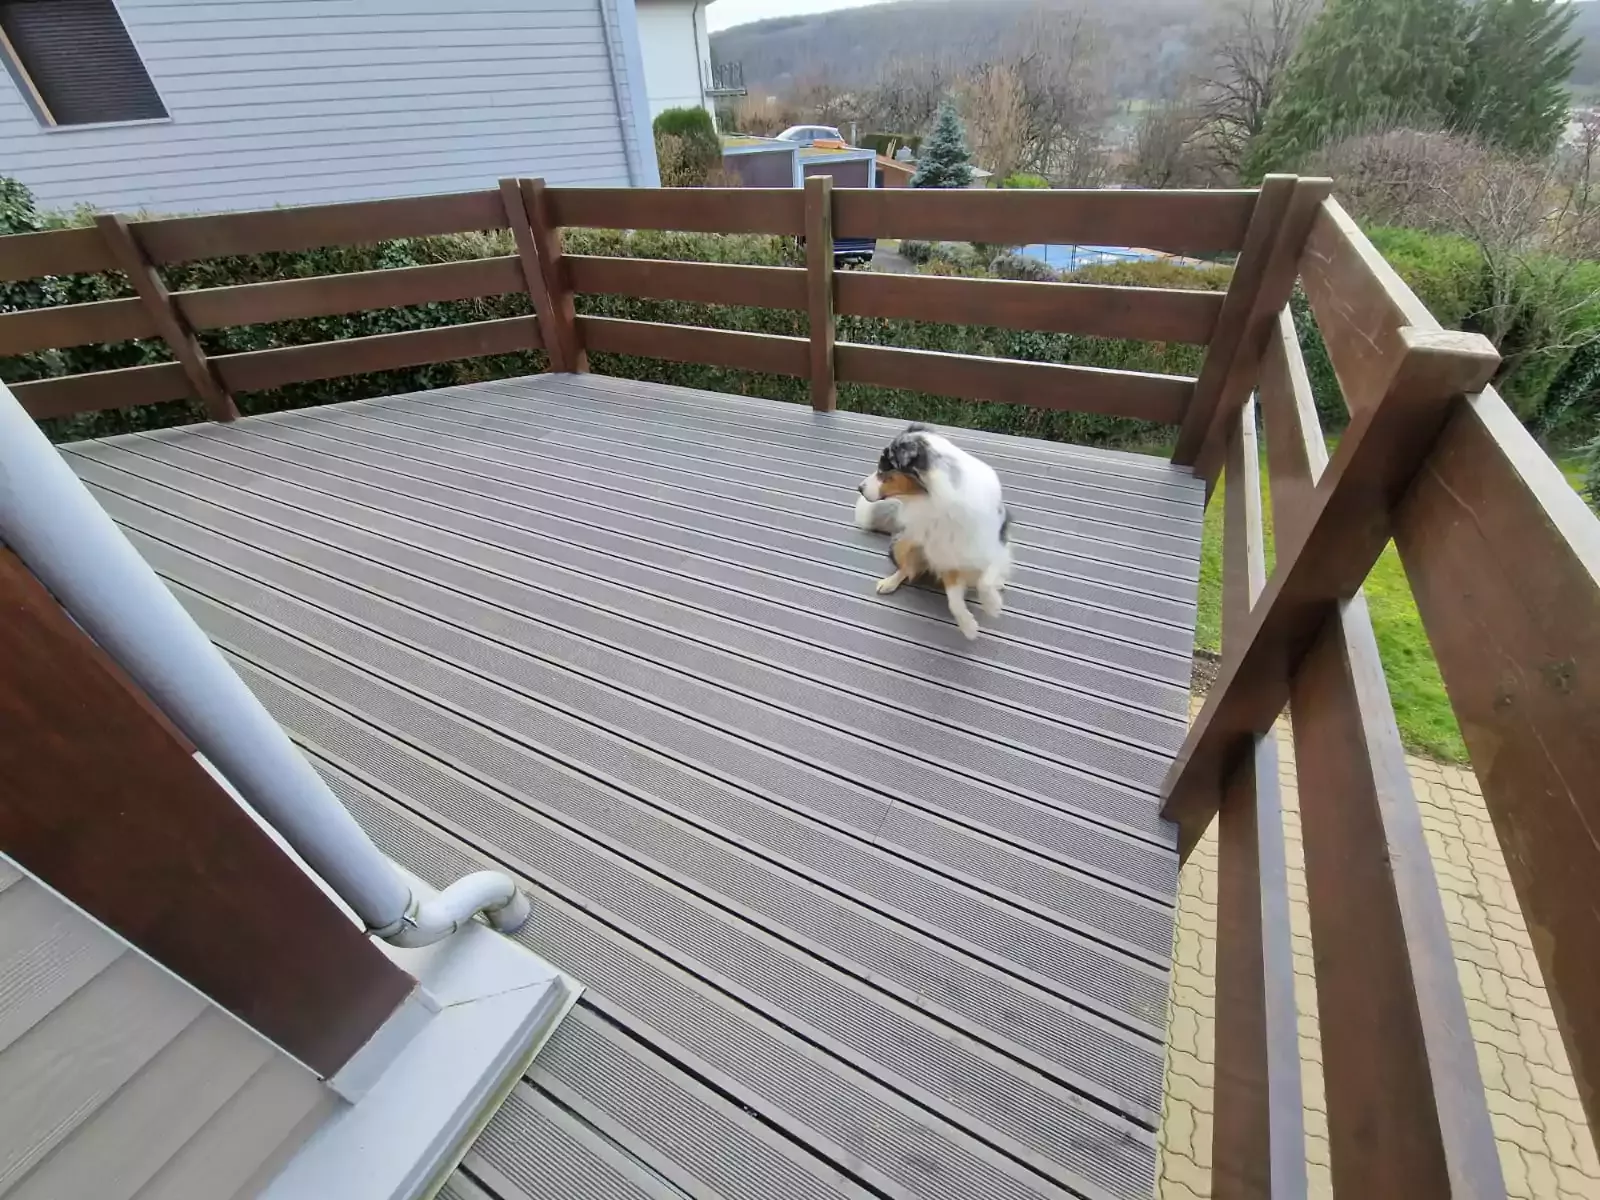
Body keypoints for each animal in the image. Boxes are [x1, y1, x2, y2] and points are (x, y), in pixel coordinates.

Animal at [855, 424, 1012, 640]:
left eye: (885, 469)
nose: (859, 488)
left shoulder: (995, 543)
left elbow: (987, 578)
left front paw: (992, 605)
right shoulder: (944, 555)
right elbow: (954, 600)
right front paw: (968, 626)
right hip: (904, 541)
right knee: (906, 568)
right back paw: (889, 582)